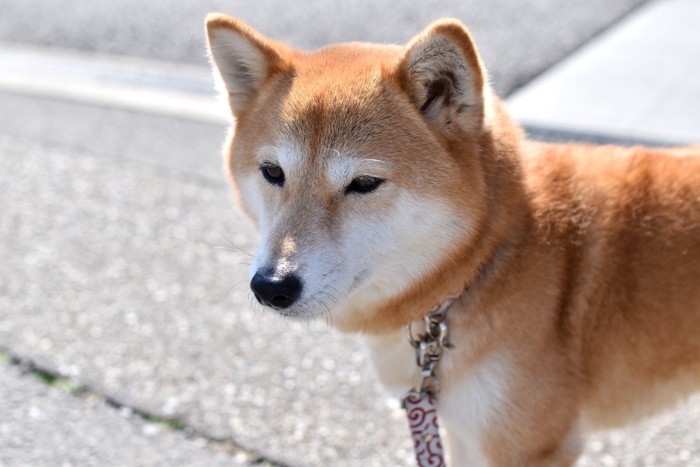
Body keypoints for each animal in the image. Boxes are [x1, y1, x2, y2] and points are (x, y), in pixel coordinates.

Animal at [205, 14, 696, 467]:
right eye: (273, 172)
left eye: (364, 183)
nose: (272, 286)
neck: (486, 261)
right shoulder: (461, 429)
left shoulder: (527, 447)